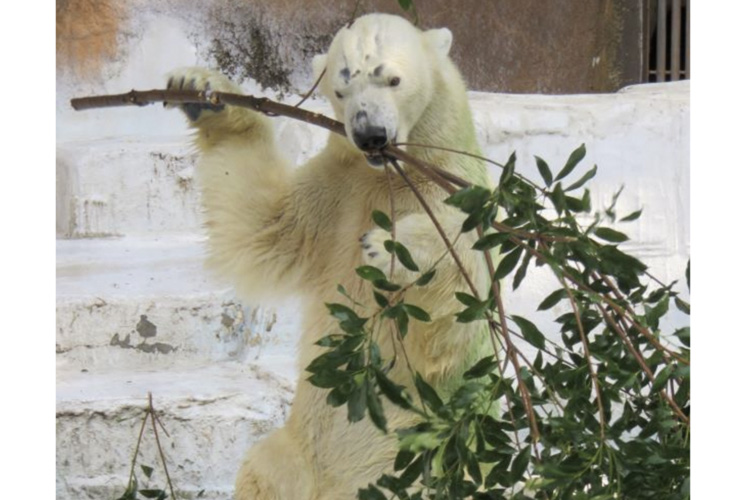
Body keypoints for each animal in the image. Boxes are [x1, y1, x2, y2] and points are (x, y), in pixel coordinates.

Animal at [167, 13, 492, 499]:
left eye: (393, 79)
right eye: (341, 89)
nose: (370, 135)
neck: (390, 175)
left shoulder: (456, 194)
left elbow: (451, 323)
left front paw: (392, 244)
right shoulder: (337, 191)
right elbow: (266, 222)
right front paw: (200, 90)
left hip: (415, 466)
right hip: (295, 453)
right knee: (263, 470)